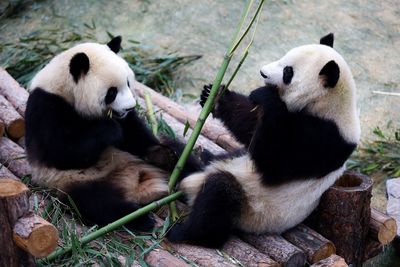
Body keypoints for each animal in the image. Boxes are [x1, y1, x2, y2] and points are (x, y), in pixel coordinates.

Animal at [24, 36, 200, 231]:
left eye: (128, 83)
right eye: (112, 92)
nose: (130, 107)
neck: (65, 89)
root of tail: (139, 187)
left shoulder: (126, 120)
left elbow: (135, 135)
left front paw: (161, 155)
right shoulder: (46, 108)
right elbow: (61, 153)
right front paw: (110, 130)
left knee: (185, 158)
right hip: (72, 181)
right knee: (97, 202)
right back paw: (141, 218)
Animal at [167, 34, 360, 249]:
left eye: (288, 72)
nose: (263, 73)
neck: (328, 104)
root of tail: (191, 184)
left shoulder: (326, 138)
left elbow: (276, 163)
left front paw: (265, 95)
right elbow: (251, 128)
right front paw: (215, 96)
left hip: (252, 208)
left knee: (219, 194)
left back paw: (187, 233)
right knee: (178, 152)